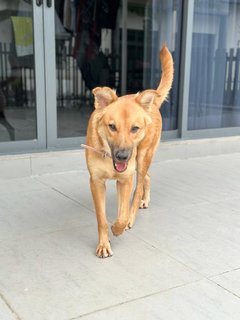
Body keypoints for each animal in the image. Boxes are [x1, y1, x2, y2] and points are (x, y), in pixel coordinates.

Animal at [84, 46, 172, 258]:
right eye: (112, 126)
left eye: (134, 128)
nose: (122, 156)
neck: (108, 156)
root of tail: (151, 104)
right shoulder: (96, 183)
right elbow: (101, 219)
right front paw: (104, 243)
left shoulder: (125, 179)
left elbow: (122, 213)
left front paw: (118, 227)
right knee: (147, 178)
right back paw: (144, 200)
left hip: (142, 158)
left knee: (138, 188)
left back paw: (135, 212)